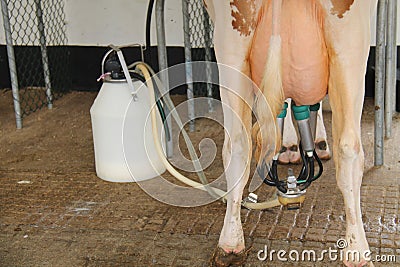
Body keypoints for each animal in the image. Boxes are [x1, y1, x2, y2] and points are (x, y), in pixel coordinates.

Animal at [203, 1, 378, 266]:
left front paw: (290, 146)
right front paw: (304, 144)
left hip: (231, 44)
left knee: (238, 145)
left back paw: (230, 243)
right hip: (351, 43)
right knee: (349, 148)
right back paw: (357, 250)